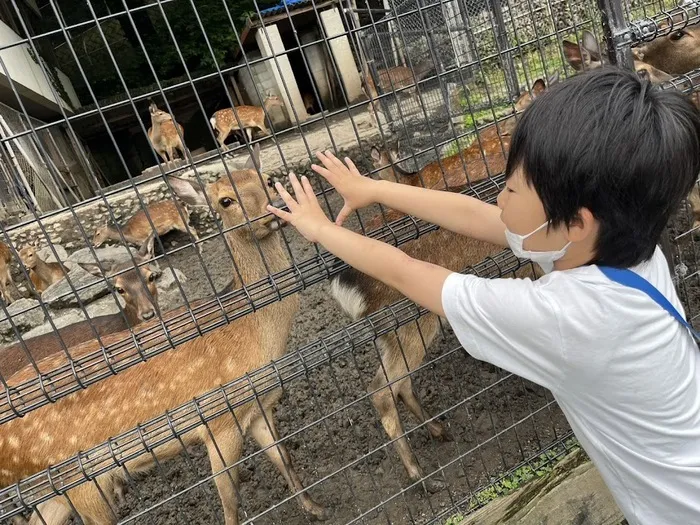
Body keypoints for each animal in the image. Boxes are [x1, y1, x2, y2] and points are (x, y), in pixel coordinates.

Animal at [328, 80, 552, 494]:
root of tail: (346, 285)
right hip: (408, 321)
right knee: (381, 389)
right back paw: (418, 475)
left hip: (389, 330)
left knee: (395, 384)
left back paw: (438, 430)